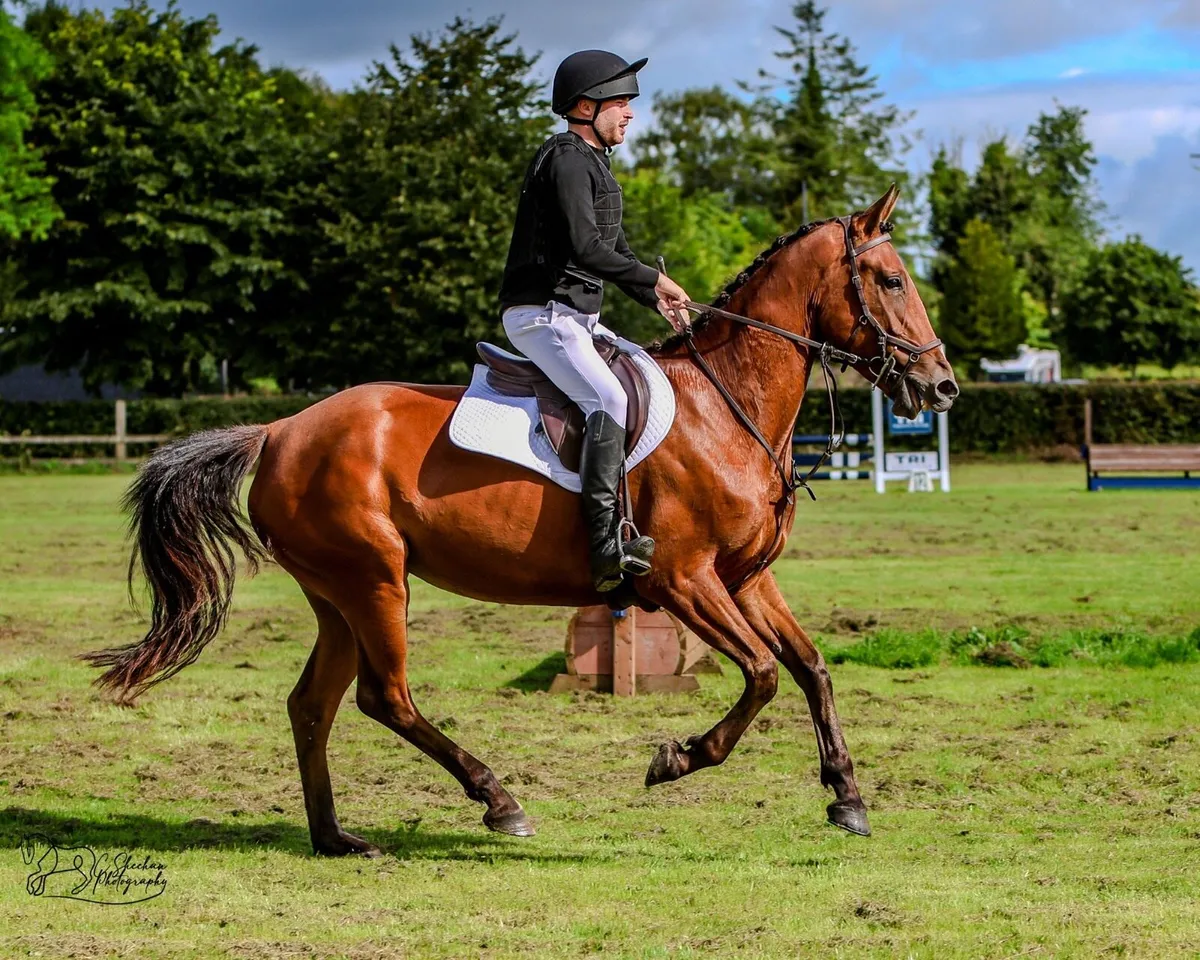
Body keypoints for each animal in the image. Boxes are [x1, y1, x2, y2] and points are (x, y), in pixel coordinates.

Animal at [84, 186, 958, 857]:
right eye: (888, 279)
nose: (941, 386)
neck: (726, 404)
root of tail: (276, 431)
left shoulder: (746, 578)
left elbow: (810, 668)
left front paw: (846, 796)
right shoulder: (683, 580)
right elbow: (763, 674)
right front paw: (676, 760)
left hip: (337, 596)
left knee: (313, 705)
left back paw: (337, 838)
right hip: (375, 581)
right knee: (383, 697)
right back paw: (498, 801)